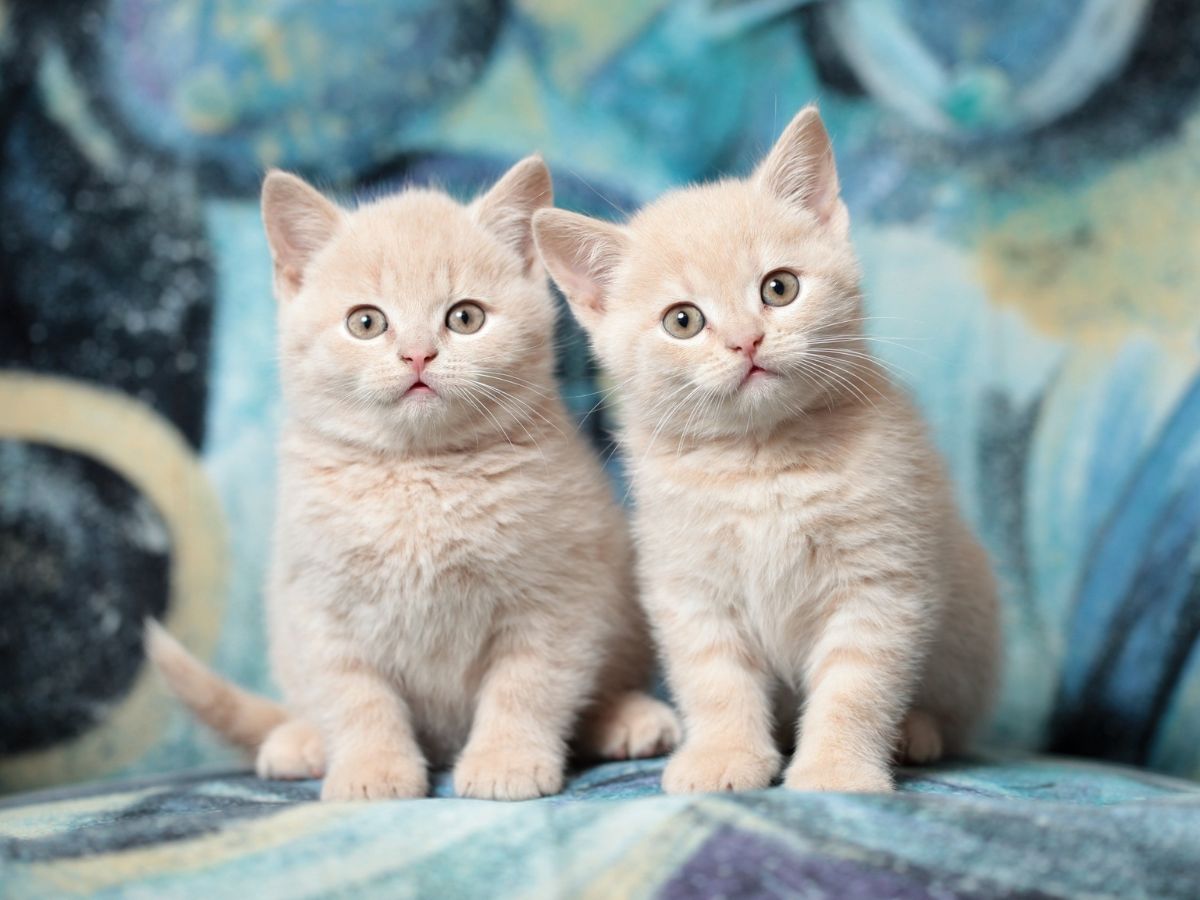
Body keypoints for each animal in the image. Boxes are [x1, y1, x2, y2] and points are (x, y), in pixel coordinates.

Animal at [147, 158, 676, 801]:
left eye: (465, 317)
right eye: (366, 322)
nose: (418, 355)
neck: (419, 473)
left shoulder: (559, 597)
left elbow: (526, 687)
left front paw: (505, 760)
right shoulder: (319, 608)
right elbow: (356, 698)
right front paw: (372, 770)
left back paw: (625, 719)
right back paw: (300, 740)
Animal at [535, 109, 1003, 792]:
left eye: (779, 288)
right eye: (683, 321)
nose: (746, 340)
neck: (760, 462)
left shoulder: (880, 579)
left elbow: (857, 686)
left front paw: (837, 767)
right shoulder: (690, 586)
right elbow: (715, 682)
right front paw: (725, 756)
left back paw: (916, 733)